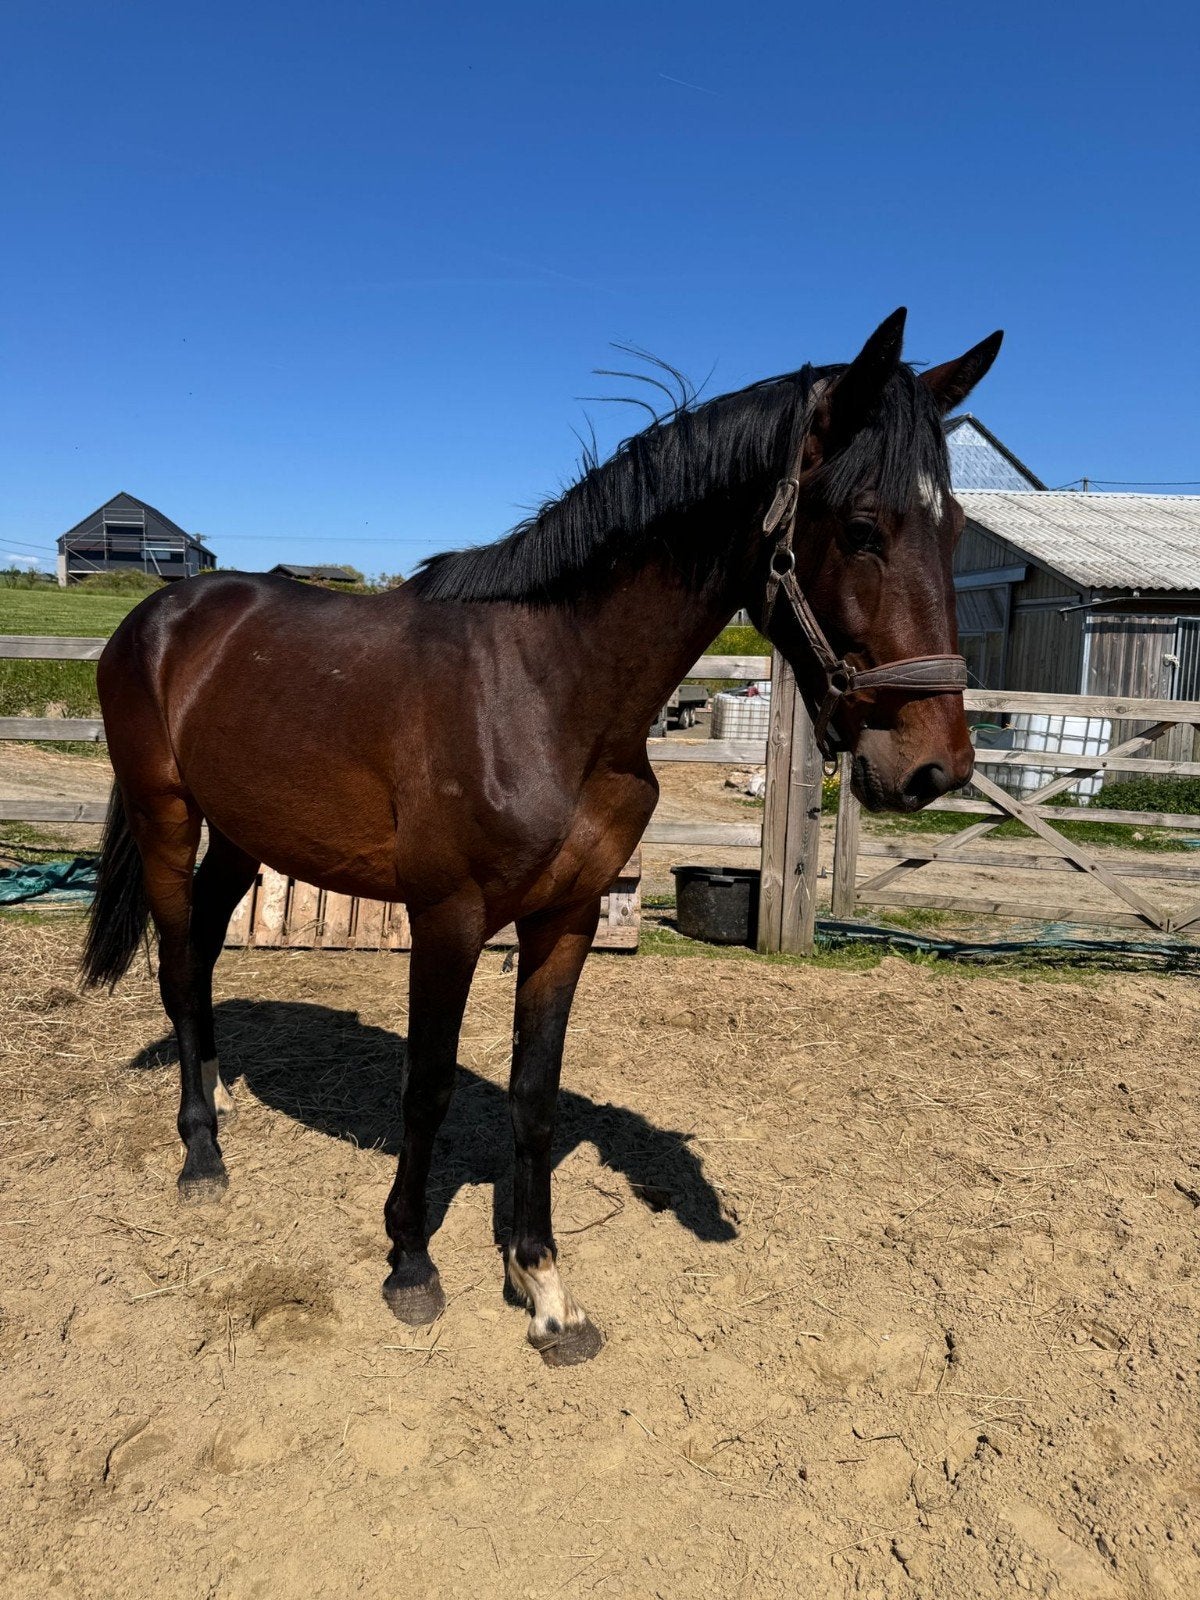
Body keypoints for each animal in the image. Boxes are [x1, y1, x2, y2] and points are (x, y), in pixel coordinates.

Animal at [82, 307, 1000, 1365]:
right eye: (860, 528)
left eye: (955, 529)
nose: (935, 768)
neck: (548, 690)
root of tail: (159, 612)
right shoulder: (445, 920)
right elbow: (430, 1086)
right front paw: (411, 1263)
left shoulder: (565, 920)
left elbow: (535, 1094)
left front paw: (544, 1287)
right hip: (166, 815)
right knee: (177, 959)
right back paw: (200, 1153)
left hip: (245, 833)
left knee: (201, 956)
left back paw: (222, 1097)